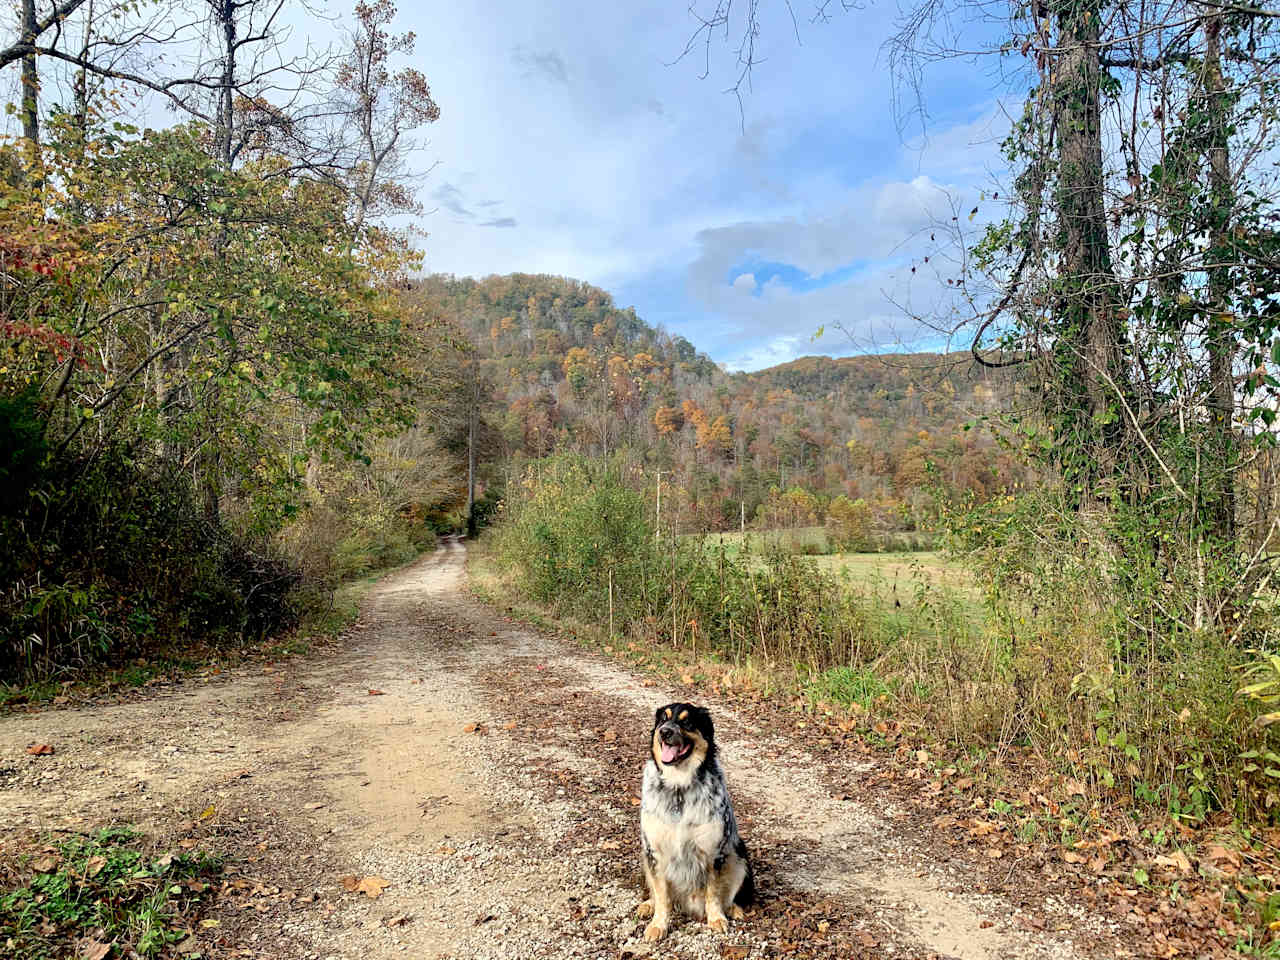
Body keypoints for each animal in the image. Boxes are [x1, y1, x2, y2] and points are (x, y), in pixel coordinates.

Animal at [637, 701, 752, 942]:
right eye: (663, 719)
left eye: (687, 721)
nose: (664, 732)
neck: (679, 788)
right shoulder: (654, 852)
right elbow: (661, 895)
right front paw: (658, 925)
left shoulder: (714, 852)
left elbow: (713, 891)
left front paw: (716, 919)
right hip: (644, 857)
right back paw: (648, 905)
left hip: (739, 855)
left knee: (729, 894)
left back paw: (732, 909)